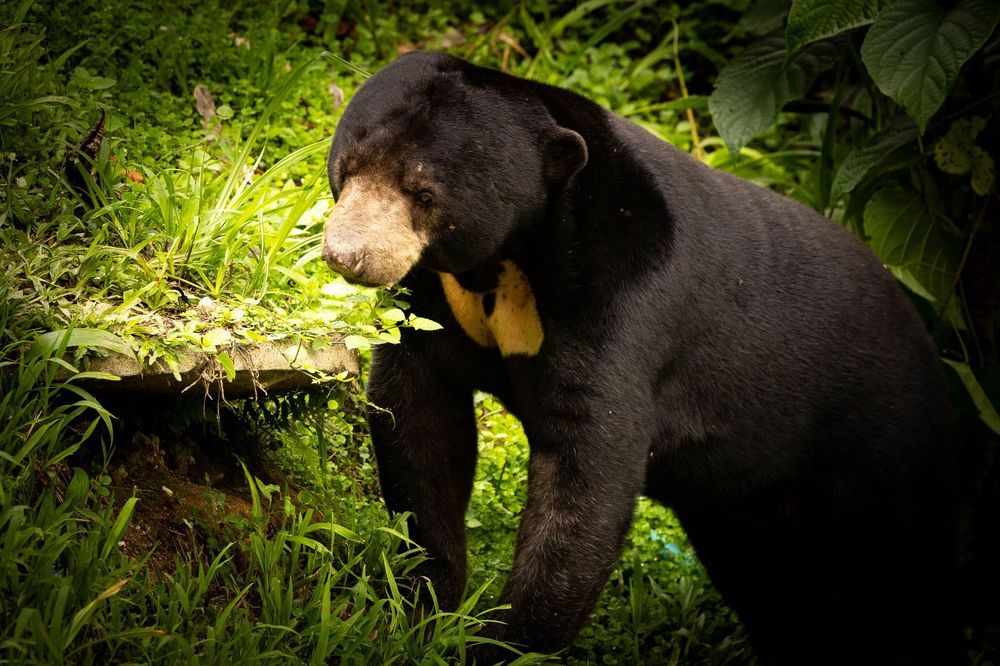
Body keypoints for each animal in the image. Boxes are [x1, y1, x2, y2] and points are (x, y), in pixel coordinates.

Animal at [321, 51, 957, 664]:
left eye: (423, 194)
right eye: (347, 169)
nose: (347, 256)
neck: (506, 263)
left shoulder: (624, 306)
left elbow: (589, 471)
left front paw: (501, 647)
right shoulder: (438, 297)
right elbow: (419, 418)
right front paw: (422, 608)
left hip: (881, 459)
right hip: (745, 507)